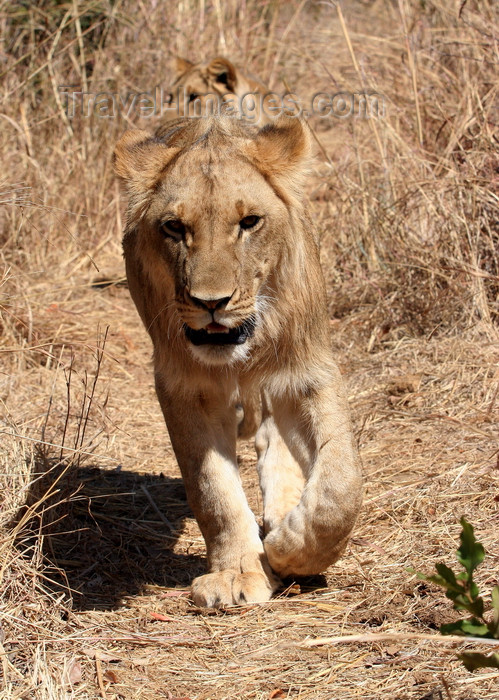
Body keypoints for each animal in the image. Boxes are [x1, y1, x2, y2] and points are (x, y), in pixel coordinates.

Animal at [113, 115, 364, 608]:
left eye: (249, 222)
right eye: (174, 227)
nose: (211, 303)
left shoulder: (306, 371)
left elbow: (339, 487)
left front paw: (288, 550)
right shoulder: (185, 386)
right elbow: (213, 489)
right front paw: (237, 572)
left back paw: (283, 515)